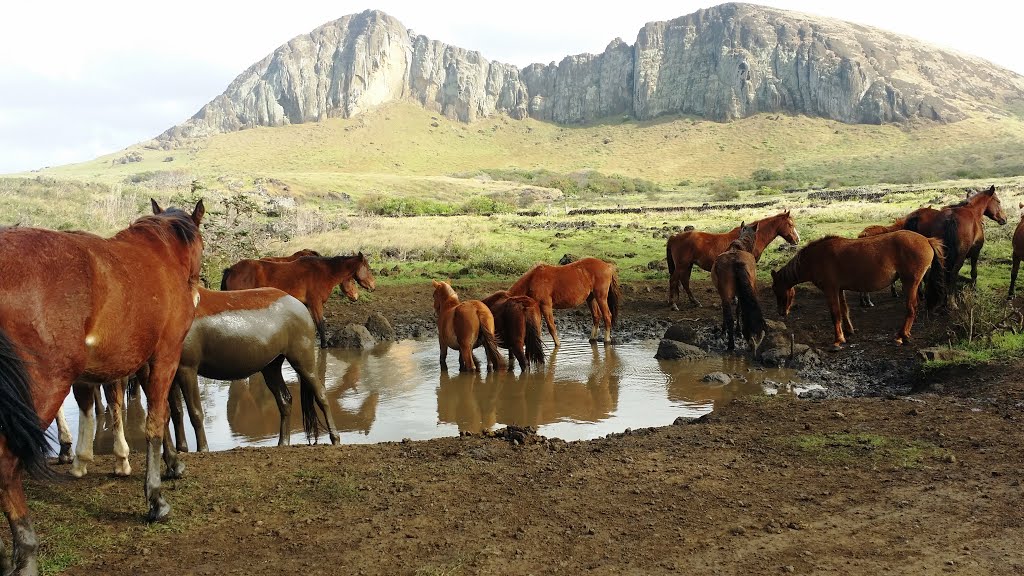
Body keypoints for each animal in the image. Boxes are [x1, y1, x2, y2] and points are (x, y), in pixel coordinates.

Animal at [0, 196, 205, 569]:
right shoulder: (165, 356)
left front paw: (171, 462)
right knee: (6, 462)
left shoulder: (142, 363)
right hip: (43, 386)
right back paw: (26, 550)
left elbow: (160, 416)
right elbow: (156, 421)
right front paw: (155, 499)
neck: (160, 256)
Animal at [220, 252, 376, 344]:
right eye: (368, 268)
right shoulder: (315, 304)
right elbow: (320, 326)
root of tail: (231, 269)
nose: (373, 286)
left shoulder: (305, 305)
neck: (324, 272)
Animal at [667, 210, 802, 307]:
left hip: (687, 265)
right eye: (790, 225)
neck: (750, 238)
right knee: (673, 280)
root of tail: (674, 237)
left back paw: (694, 302)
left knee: (685, 281)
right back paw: (673, 304)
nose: (797, 240)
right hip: (682, 265)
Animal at [712, 222, 770, 352]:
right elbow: (738, 309)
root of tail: (735, 260)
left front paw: (724, 331)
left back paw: (731, 344)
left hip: (726, 293)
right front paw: (737, 331)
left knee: (729, 316)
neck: (739, 247)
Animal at [770, 229, 946, 348]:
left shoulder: (830, 290)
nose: (781, 312)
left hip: (910, 282)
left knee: (911, 308)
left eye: (777, 290)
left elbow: (835, 314)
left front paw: (838, 340)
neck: (816, 258)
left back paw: (901, 336)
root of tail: (927, 240)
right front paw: (848, 331)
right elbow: (844, 311)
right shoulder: (839, 289)